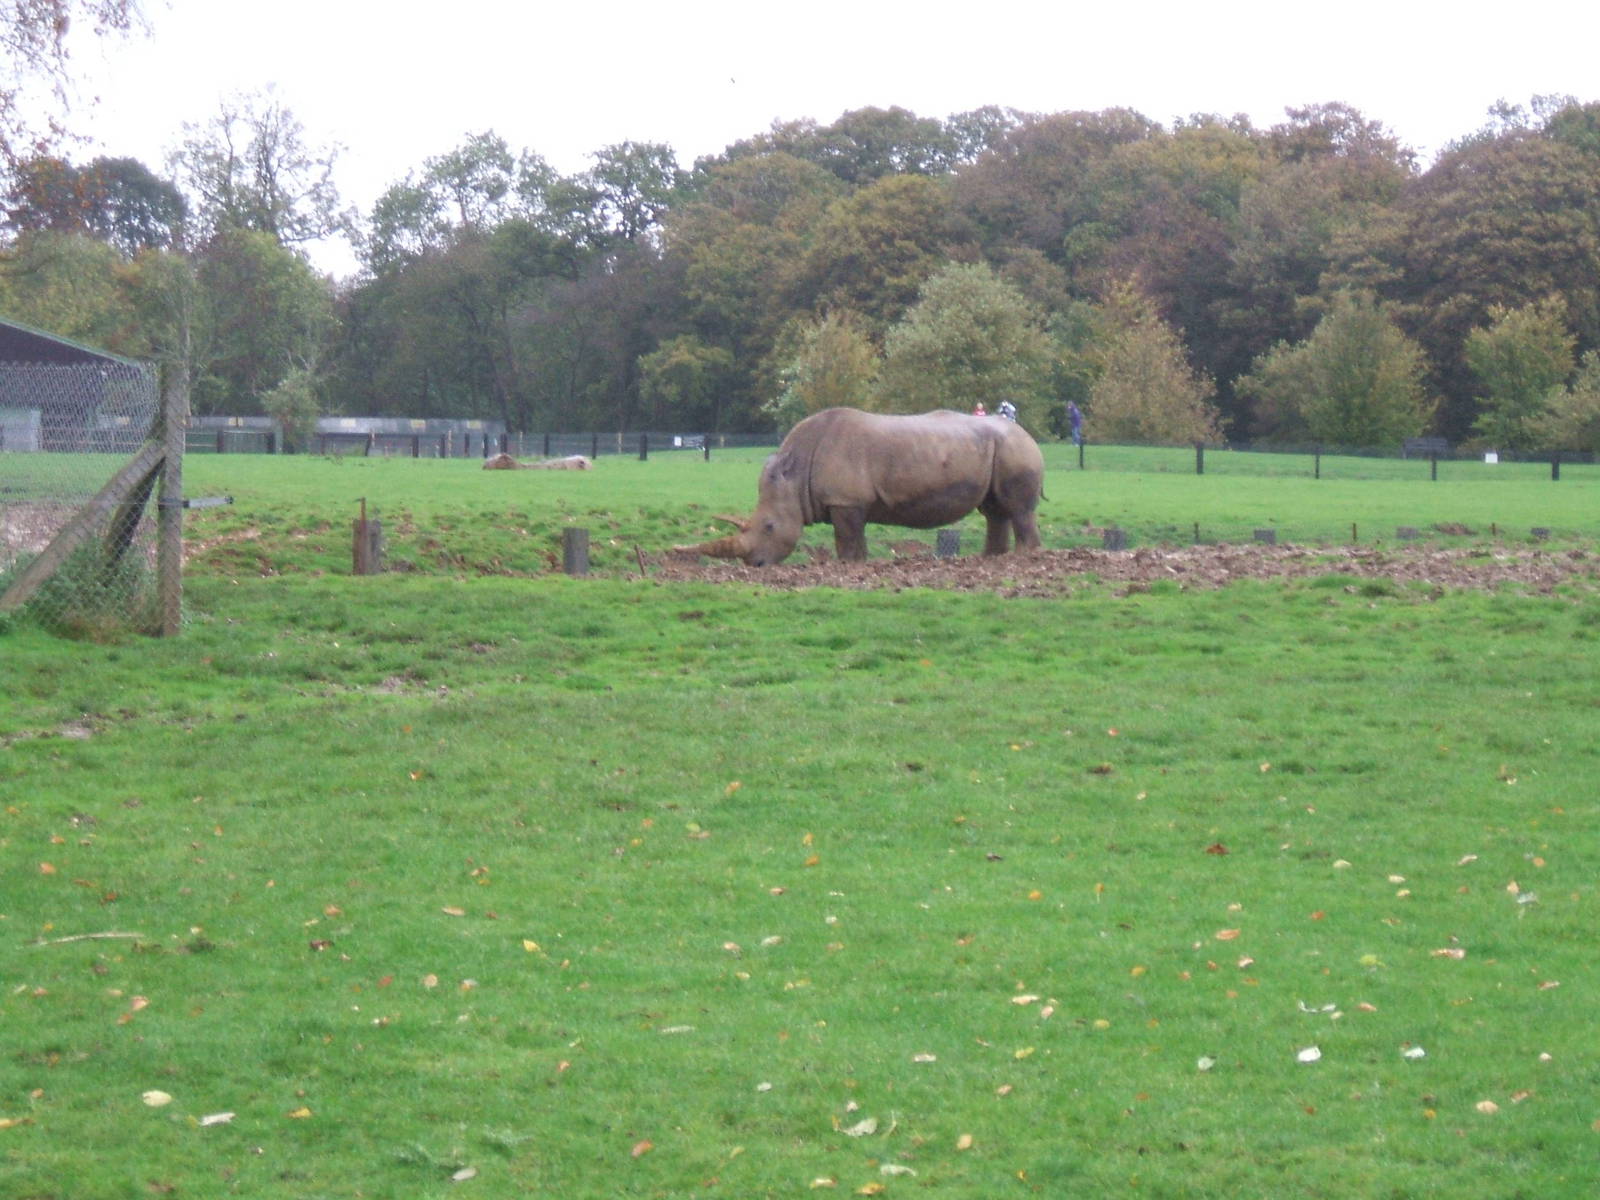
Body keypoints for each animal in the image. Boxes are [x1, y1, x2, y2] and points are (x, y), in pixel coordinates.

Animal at [677, 407, 1044, 566]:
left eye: (769, 526)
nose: (754, 566)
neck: (795, 475)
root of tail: (1028, 435)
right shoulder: (851, 502)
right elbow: (857, 539)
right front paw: (861, 565)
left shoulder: (845, 501)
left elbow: (847, 539)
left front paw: (847, 567)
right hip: (999, 449)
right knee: (995, 510)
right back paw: (991, 559)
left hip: (1016, 450)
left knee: (1017, 509)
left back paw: (1021, 559)